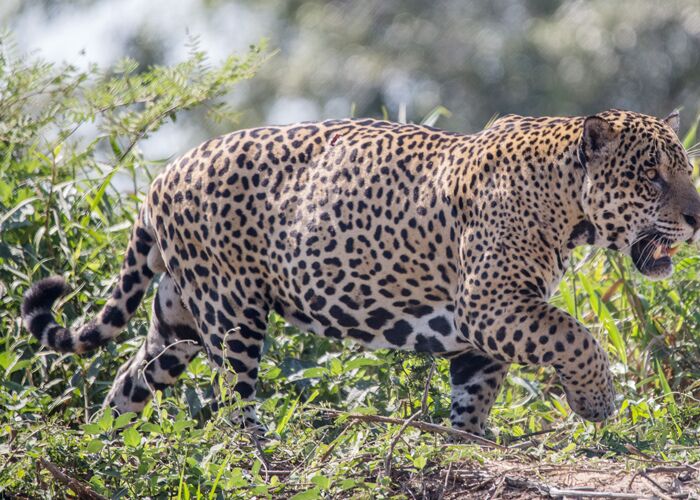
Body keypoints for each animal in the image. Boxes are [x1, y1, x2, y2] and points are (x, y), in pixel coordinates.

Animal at [22, 109, 700, 436]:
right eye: (652, 176)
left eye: (684, 169)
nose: (696, 216)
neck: (567, 203)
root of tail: (163, 175)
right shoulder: (493, 304)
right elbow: (577, 337)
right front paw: (596, 403)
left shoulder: (485, 328)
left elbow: (475, 394)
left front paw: (469, 443)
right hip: (231, 311)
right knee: (234, 398)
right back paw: (261, 452)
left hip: (178, 320)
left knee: (130, 380)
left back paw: (99, 442)